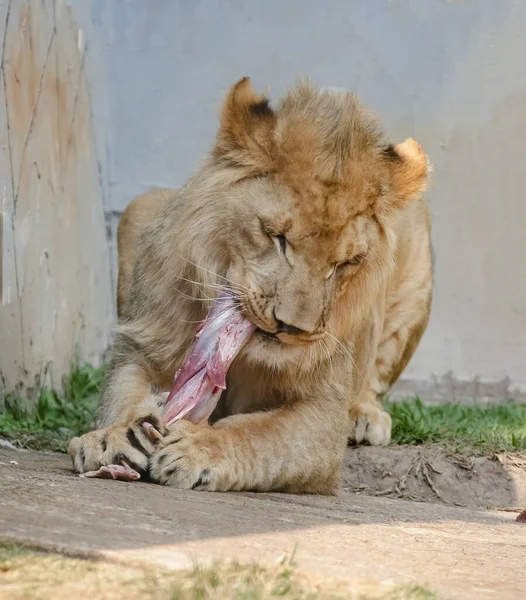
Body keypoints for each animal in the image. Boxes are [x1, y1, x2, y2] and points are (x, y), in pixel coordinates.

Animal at [70, 77, 434, 494]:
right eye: (276, 237)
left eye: (345, 264)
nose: (293, 328)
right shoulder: (143, 347)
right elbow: (123, 395)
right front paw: (114, 437)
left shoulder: (324, 415)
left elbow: (260, 434)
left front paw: (197, 449)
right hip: (139, 207)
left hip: (415, 287)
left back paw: (365, 415)